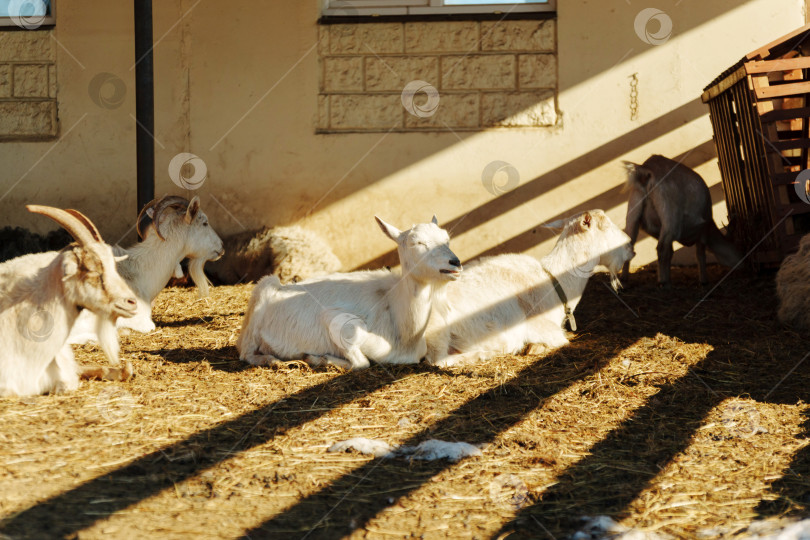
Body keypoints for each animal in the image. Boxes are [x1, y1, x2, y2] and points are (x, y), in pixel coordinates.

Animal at [237, 216, 461, 370]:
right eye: (417, 243)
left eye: (447, 239)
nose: (455, 262)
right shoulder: (339, 322)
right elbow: (362, 363)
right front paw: (319, 358)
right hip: (262, 292)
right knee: (245, 352)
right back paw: (272, 360)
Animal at [426, 210, 634, 368]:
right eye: (606, 226)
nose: (630, 247)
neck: (553, 280)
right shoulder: (541, 327)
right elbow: (564, 340)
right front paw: (533, 348)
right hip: (437, 329)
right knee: (438, 361)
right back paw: (482, 355)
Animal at [622, 155, 741, 287]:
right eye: (737, 246)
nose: (742, 262)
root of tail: (648, 170)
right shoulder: (703, 230)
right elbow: (700, 254)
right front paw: (703, 280)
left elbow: (671, 252)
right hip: (671, 217)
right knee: (661, 248)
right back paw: (663, 282)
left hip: (633, 212)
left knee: (629, 245)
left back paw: (624, 279)